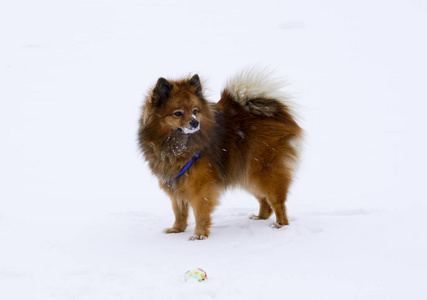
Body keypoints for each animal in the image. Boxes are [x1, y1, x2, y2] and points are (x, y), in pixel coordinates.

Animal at [139, 69, 302, 240]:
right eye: (178, 113)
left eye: (195, 111)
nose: (195, 122)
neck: (176, 145)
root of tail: (278, 115)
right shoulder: (175, 182)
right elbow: (179, 210)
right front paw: (177, 229)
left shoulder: (200, 186)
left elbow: (200, 213)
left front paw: (199, 235)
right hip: (247, 174)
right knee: (265, 202)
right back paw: (260, 218)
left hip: (263, 172)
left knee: (277, 202)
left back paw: (281, 225)